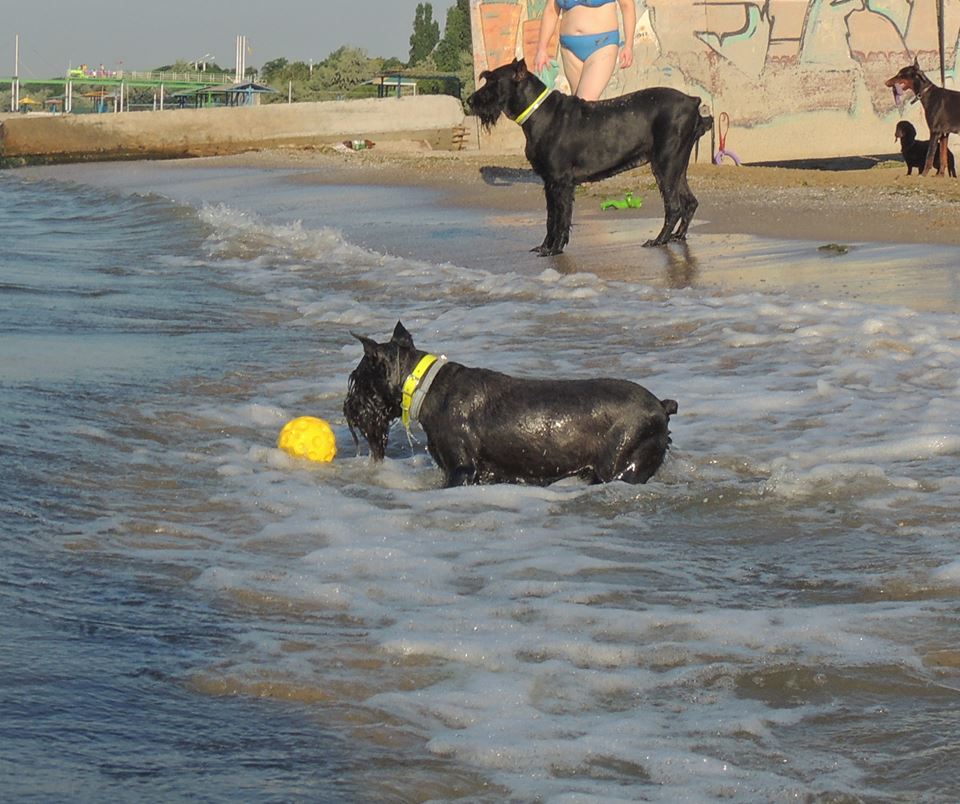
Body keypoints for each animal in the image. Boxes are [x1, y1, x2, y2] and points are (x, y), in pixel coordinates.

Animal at [343, 321, 677, 487]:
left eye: (357, 379)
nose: (349, 409)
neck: (428, 386)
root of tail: (661, 406)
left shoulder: (461, 470)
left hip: (621, 464)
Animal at [467, 58, 713, 254]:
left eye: (492, 82)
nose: (470, 101)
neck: (539, 113)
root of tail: (692, 101)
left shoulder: (561, 182)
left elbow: (562, 217)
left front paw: (555, 249)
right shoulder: (548, 182)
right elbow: (550, 218)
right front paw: (545, 246)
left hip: (665, 165)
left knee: (674, 206)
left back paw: (659, 240)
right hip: (676, 166)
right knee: (690, 202)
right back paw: (677, 236)